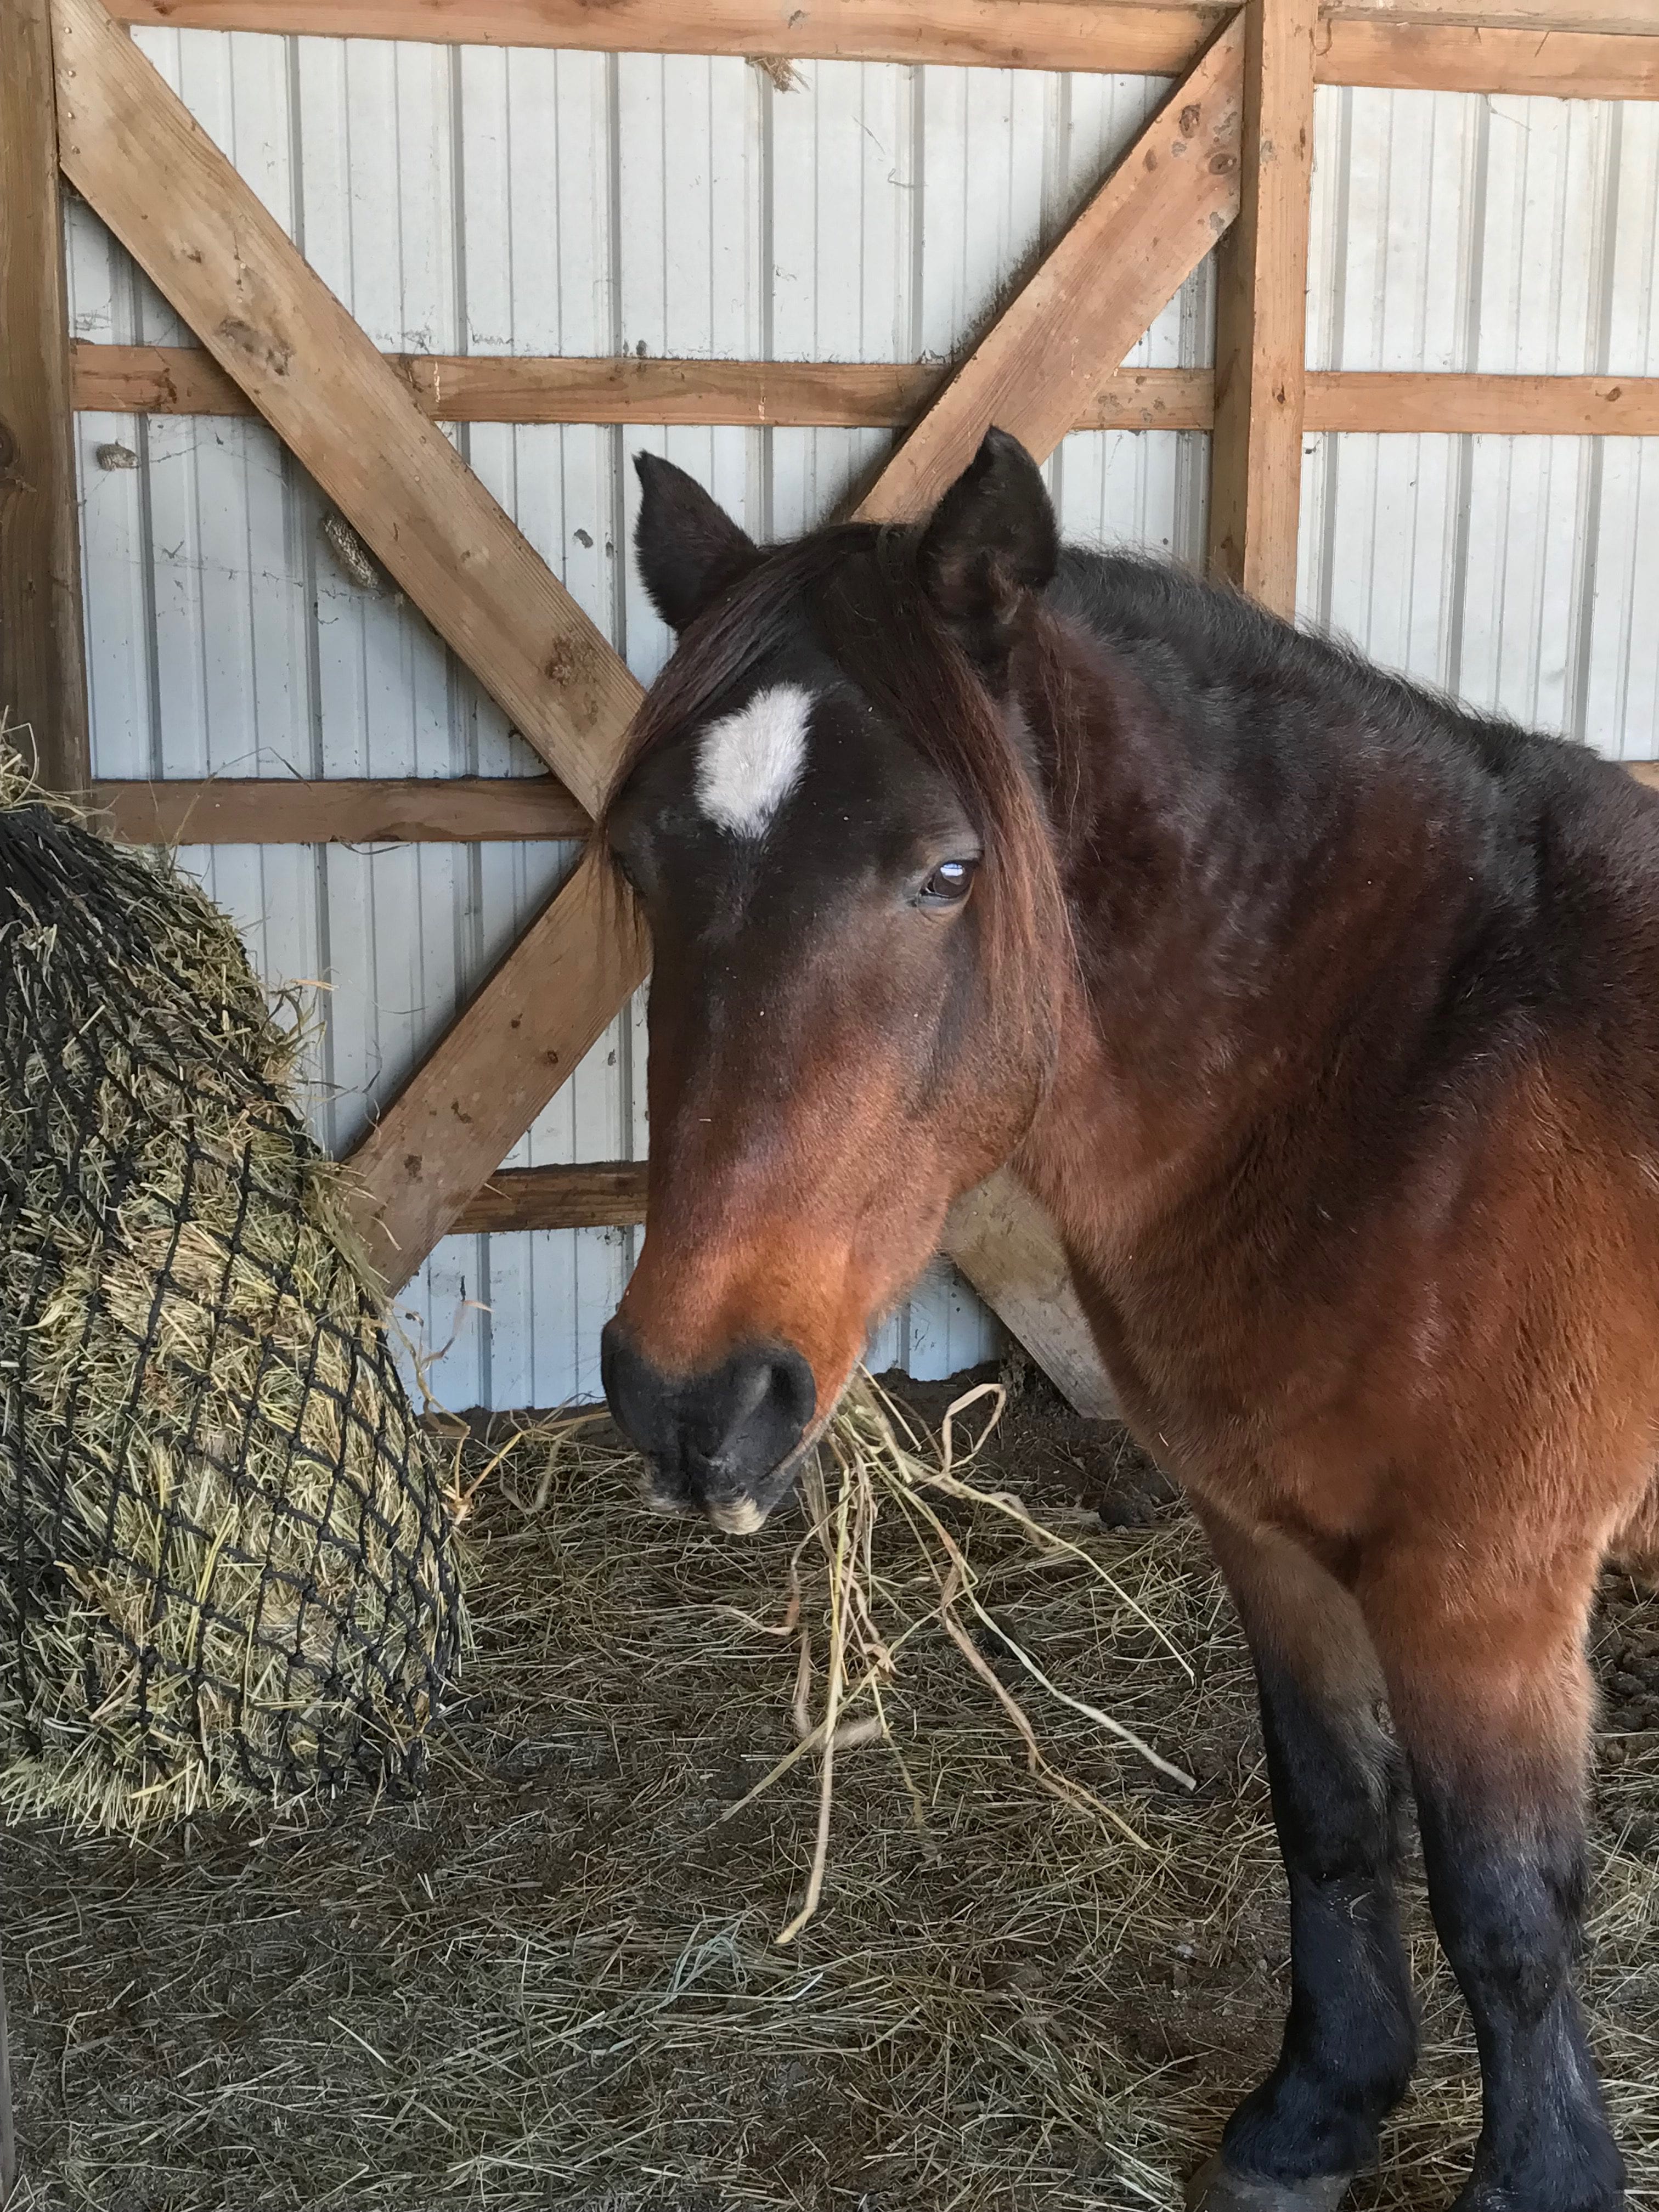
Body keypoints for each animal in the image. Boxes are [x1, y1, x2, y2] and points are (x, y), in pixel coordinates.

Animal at [598, 425, 1659, 2212]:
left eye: (948, 873)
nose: (694, 1401)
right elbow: (1335, 1823)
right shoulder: (1271, 1541)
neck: (1404, 1085)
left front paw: (1541, 2181)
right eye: (637, 862)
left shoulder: (1484, 1595)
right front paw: (1316, 2115)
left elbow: (1509, 1915)